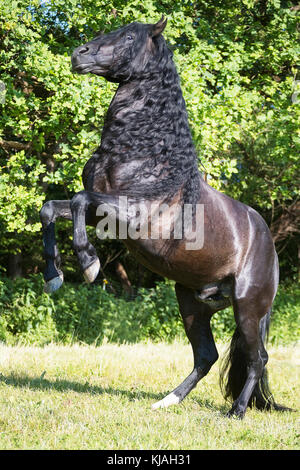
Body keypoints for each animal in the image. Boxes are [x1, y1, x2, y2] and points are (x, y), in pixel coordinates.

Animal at [38, 17, 290, 418]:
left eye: (129, 36)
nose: (79, 54)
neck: (147, 151)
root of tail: (267, 243)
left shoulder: (132, 215)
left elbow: (77, 200)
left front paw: (89, 264)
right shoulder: (102, 214)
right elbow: (52, 208)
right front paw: (54, 276)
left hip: (249, 308)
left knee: (257, 358)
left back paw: (235, 412)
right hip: (192, 303)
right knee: (207, 356)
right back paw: (166, 402)